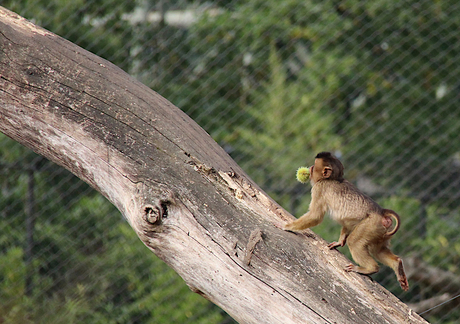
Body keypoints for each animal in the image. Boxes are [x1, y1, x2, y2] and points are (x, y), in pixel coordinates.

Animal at [282, 152, 408, 292]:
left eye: (314, 167)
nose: (309, 168)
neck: (331, 179)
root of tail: (381, 212)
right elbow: (348, 223)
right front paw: (340, 241)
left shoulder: (319, 188)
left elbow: (316, 216)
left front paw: (289, 226)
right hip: (380, 230)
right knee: (378, 249)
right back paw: (397, 264)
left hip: (370, 225)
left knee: (354, 242)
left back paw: (370, 268)